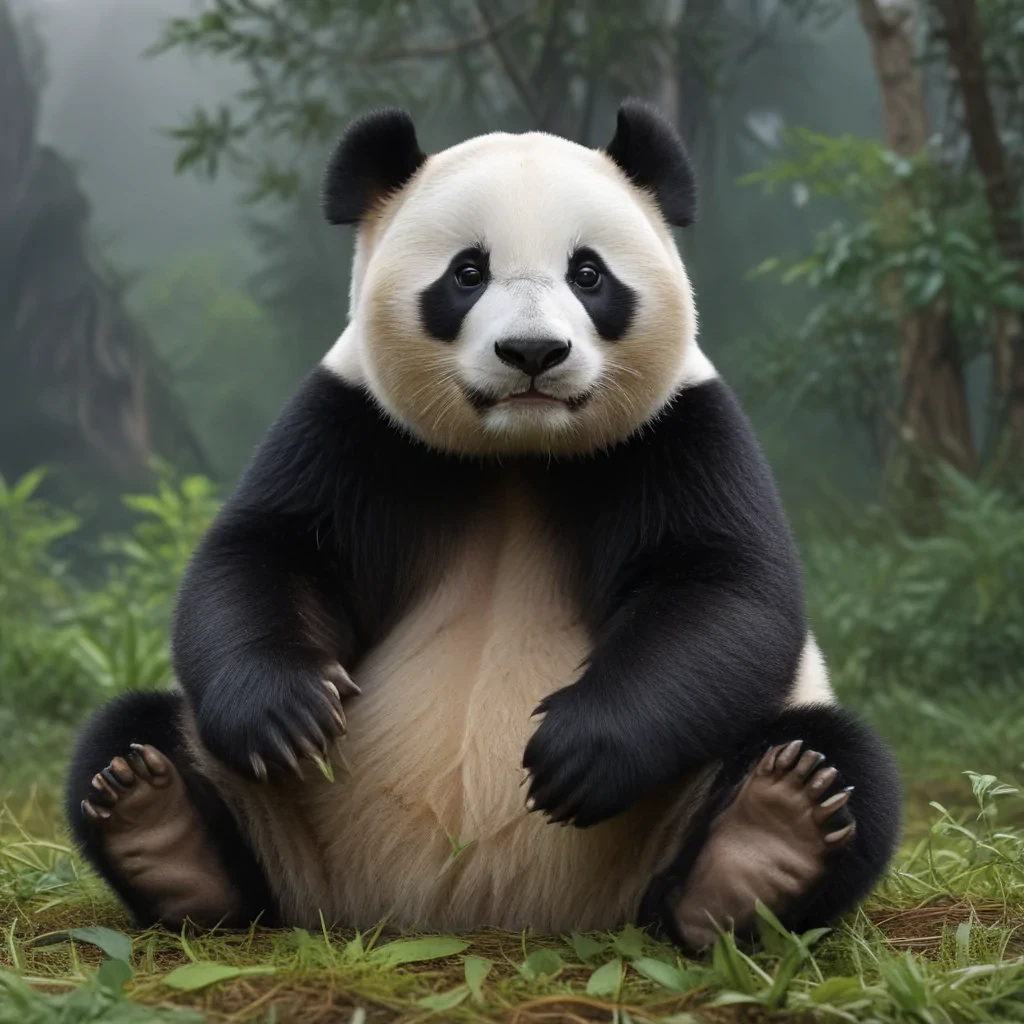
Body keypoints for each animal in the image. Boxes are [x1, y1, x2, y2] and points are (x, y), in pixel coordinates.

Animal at [66, 100, 901, 952]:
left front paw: (579, 751)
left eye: (588, 274)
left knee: (839, 760)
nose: (533, 352)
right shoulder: (352, 424)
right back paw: (157, 824)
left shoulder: (679, 431)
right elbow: (271, 552)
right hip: (288, 825)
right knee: (131, 735)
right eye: (467, 273)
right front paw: (283, 712)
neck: (517, 454)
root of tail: (472, 910)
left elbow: (724, 591)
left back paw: (762, 845)